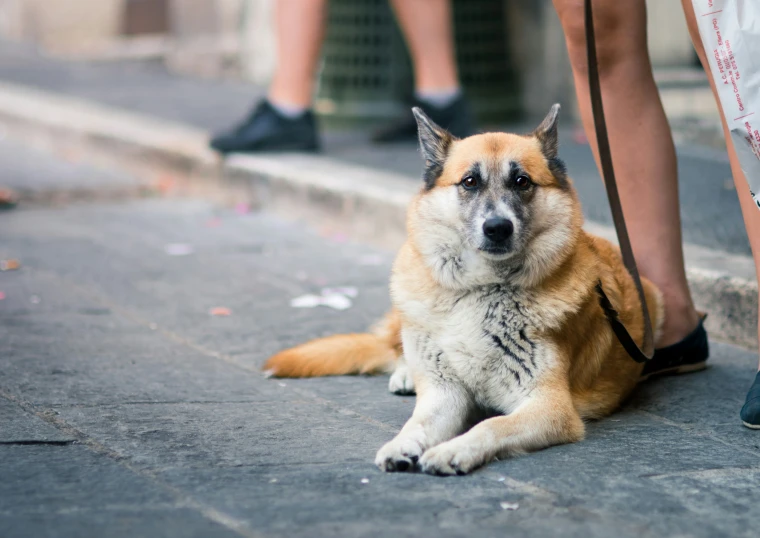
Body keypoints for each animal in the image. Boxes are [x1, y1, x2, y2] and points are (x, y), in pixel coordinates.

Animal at [264, 104, 664, 474]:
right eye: (470, 182)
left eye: (522, 182)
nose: (498, 228)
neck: (483, 288)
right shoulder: (446, 396)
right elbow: (418, 423)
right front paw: (402, 444)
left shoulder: (550, 408)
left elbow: (492, 424)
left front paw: (452, 451)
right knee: (396, 348)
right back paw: (406, 372)